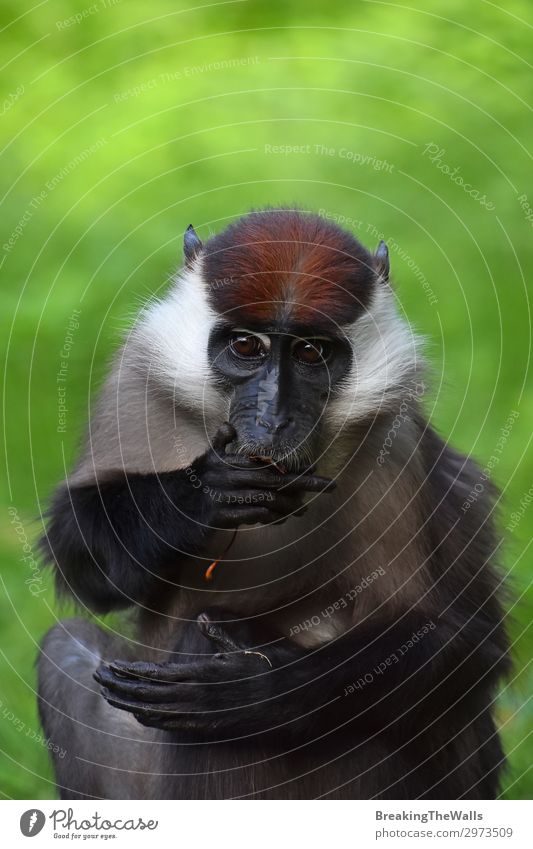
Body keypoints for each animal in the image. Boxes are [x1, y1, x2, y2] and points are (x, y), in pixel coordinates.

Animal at [37, 209, 508, 800]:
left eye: (310, 352)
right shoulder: (135, 387)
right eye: (246, 347)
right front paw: (203, 493)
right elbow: (81, 563)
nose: (272, 418)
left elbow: (453, 638)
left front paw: (247, 693)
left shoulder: (392, 442)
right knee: (64, 648)